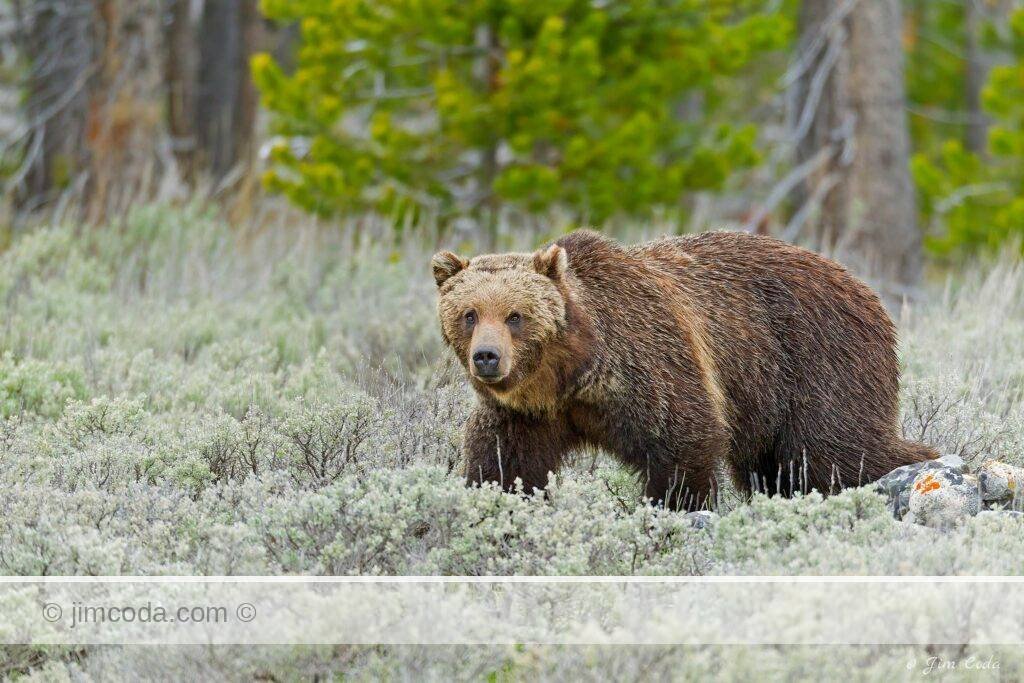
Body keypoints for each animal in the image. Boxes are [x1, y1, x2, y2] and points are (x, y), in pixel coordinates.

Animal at [432, 229, 937, 511]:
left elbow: (682, 438)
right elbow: (505, 463)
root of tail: (867, 290)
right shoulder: (528, 412)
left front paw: (674, 507)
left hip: (818, 359)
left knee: (835, 451)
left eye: (515, 315)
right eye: (469, 314)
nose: (487, 357)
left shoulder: (649, 360)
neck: (571, 373)